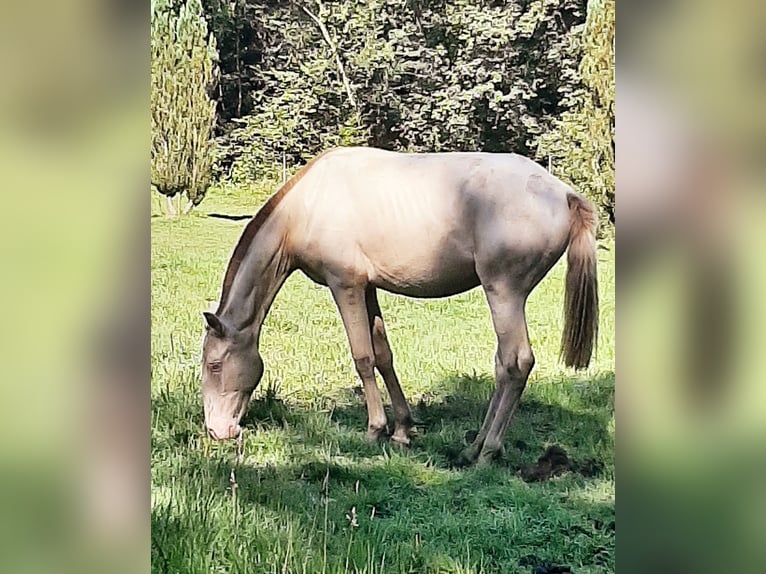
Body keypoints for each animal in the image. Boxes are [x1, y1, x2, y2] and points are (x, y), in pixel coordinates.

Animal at [200, 146, 600, 466]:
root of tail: (564, 194)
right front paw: (403, 431)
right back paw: (473, 447)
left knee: (517, 364)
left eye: (214, 365)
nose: (218, 431)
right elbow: (383, 355)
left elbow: (362, 357)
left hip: (504, 292)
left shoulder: (345, 285)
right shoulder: (368, 289)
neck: (307, 207)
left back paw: (487, 452)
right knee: (503, 363)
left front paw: (375, 430)